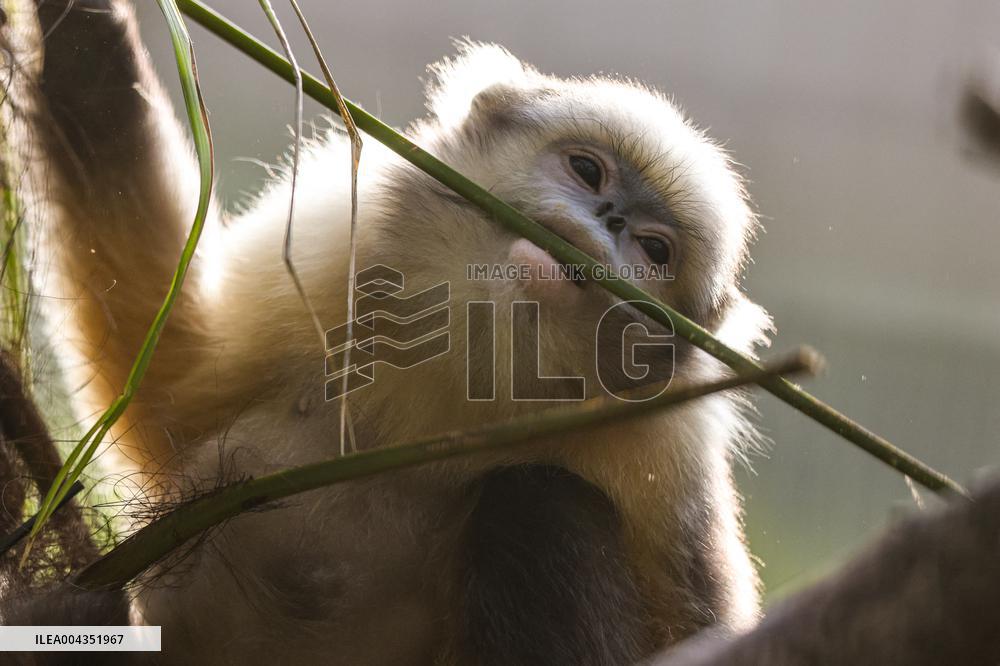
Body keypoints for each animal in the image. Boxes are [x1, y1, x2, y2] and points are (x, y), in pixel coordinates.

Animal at [4, 0, 773, 663]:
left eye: (654, 249)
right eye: (587, 169)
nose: (610, 221)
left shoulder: (667, 442)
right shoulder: (337, 240)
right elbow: (169, 381)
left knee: (540, 499)